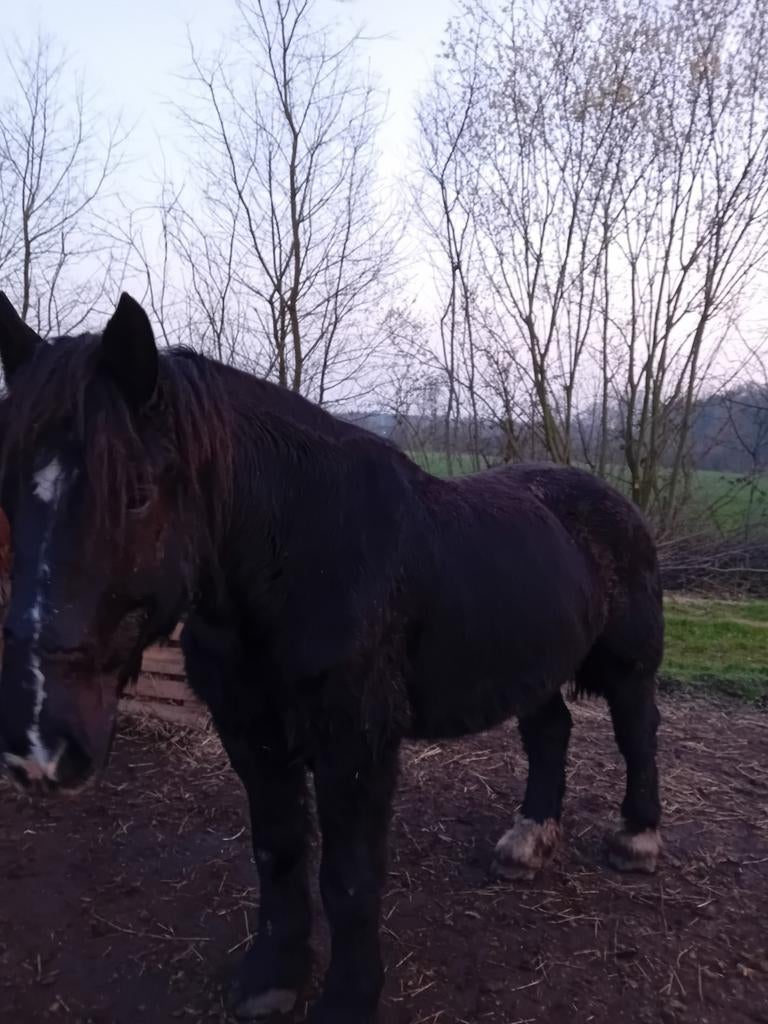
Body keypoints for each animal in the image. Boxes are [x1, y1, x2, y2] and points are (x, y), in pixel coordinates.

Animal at [0, 291, 663, 1024]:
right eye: (9, 496)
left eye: (138, 493)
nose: (39, 746)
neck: (300, 558)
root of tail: (611, 500)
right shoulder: (251, 733)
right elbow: (279, 849)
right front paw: (273, 976)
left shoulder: (356, 745)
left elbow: (348, 878)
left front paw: (347, 997)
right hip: (534, 665)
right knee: (550, 733)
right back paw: (526, 843)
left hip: (628, 665)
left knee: (637, 733)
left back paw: (637, 839)